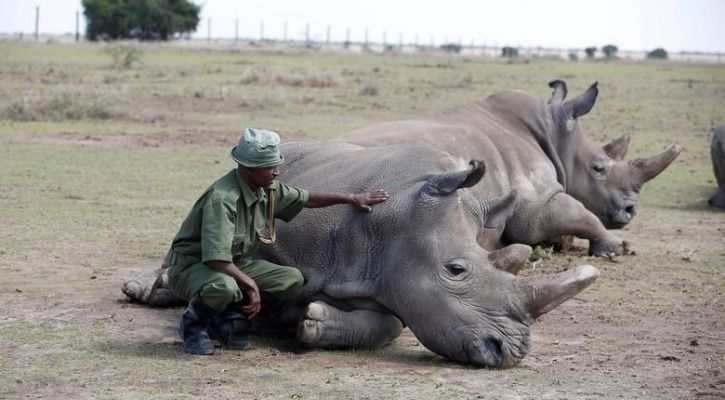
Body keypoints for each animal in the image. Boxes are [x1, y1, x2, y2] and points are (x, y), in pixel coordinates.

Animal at [124, 141, 600, 368]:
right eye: (456, 269)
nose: (512, 352)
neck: (396, 219)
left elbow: (389, 324)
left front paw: (312, 322)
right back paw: (146, 292)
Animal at [336, 81, 680, 256]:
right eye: (599, 168)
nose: (631, 210)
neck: (553, 131)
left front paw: (563, 243)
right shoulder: (535, 202)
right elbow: (580, 213)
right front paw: (616, 248)